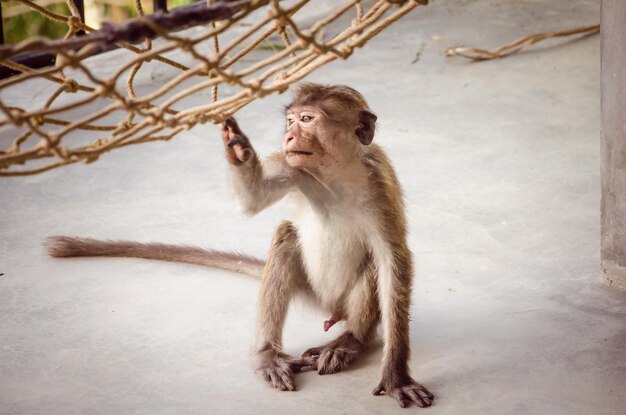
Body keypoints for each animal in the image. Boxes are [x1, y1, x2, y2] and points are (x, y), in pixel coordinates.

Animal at [47, 83, 434, 410]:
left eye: (308, 119)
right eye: (291, 121)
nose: (290, 134)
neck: (335, 173)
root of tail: (330, 308)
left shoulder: (379, 183)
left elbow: (392, 259)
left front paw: (396, 375)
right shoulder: (293, 165)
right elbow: (254, 199)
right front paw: (238, 149)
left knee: (369, 268)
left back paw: (351, 340)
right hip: (309, 288)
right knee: (284, 236)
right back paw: (268, 355)